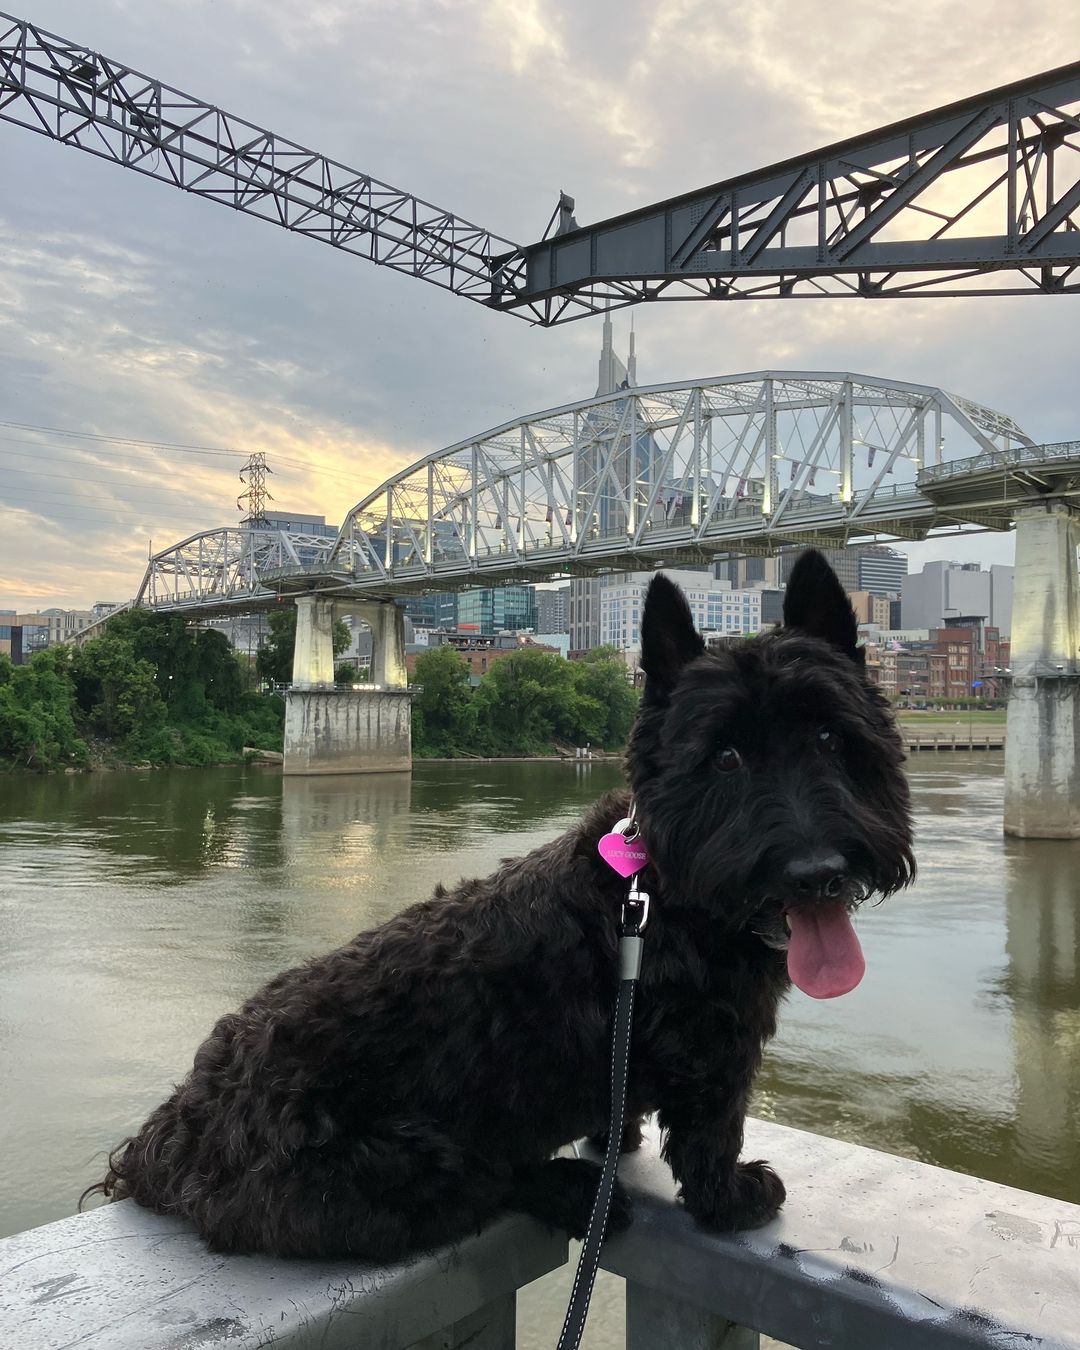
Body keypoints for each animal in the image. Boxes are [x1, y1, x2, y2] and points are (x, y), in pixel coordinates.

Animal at [93, 548, 918, 1252]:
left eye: (830, 737)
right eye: (725, 757)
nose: (816, 872)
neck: (660, 892)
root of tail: (166, 1142)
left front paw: (621, 1142)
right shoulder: (714, 1048)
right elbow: (711, 1136)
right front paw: (731, 1199)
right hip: (407, 1160)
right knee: (489, 1181)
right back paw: (571, 1190)